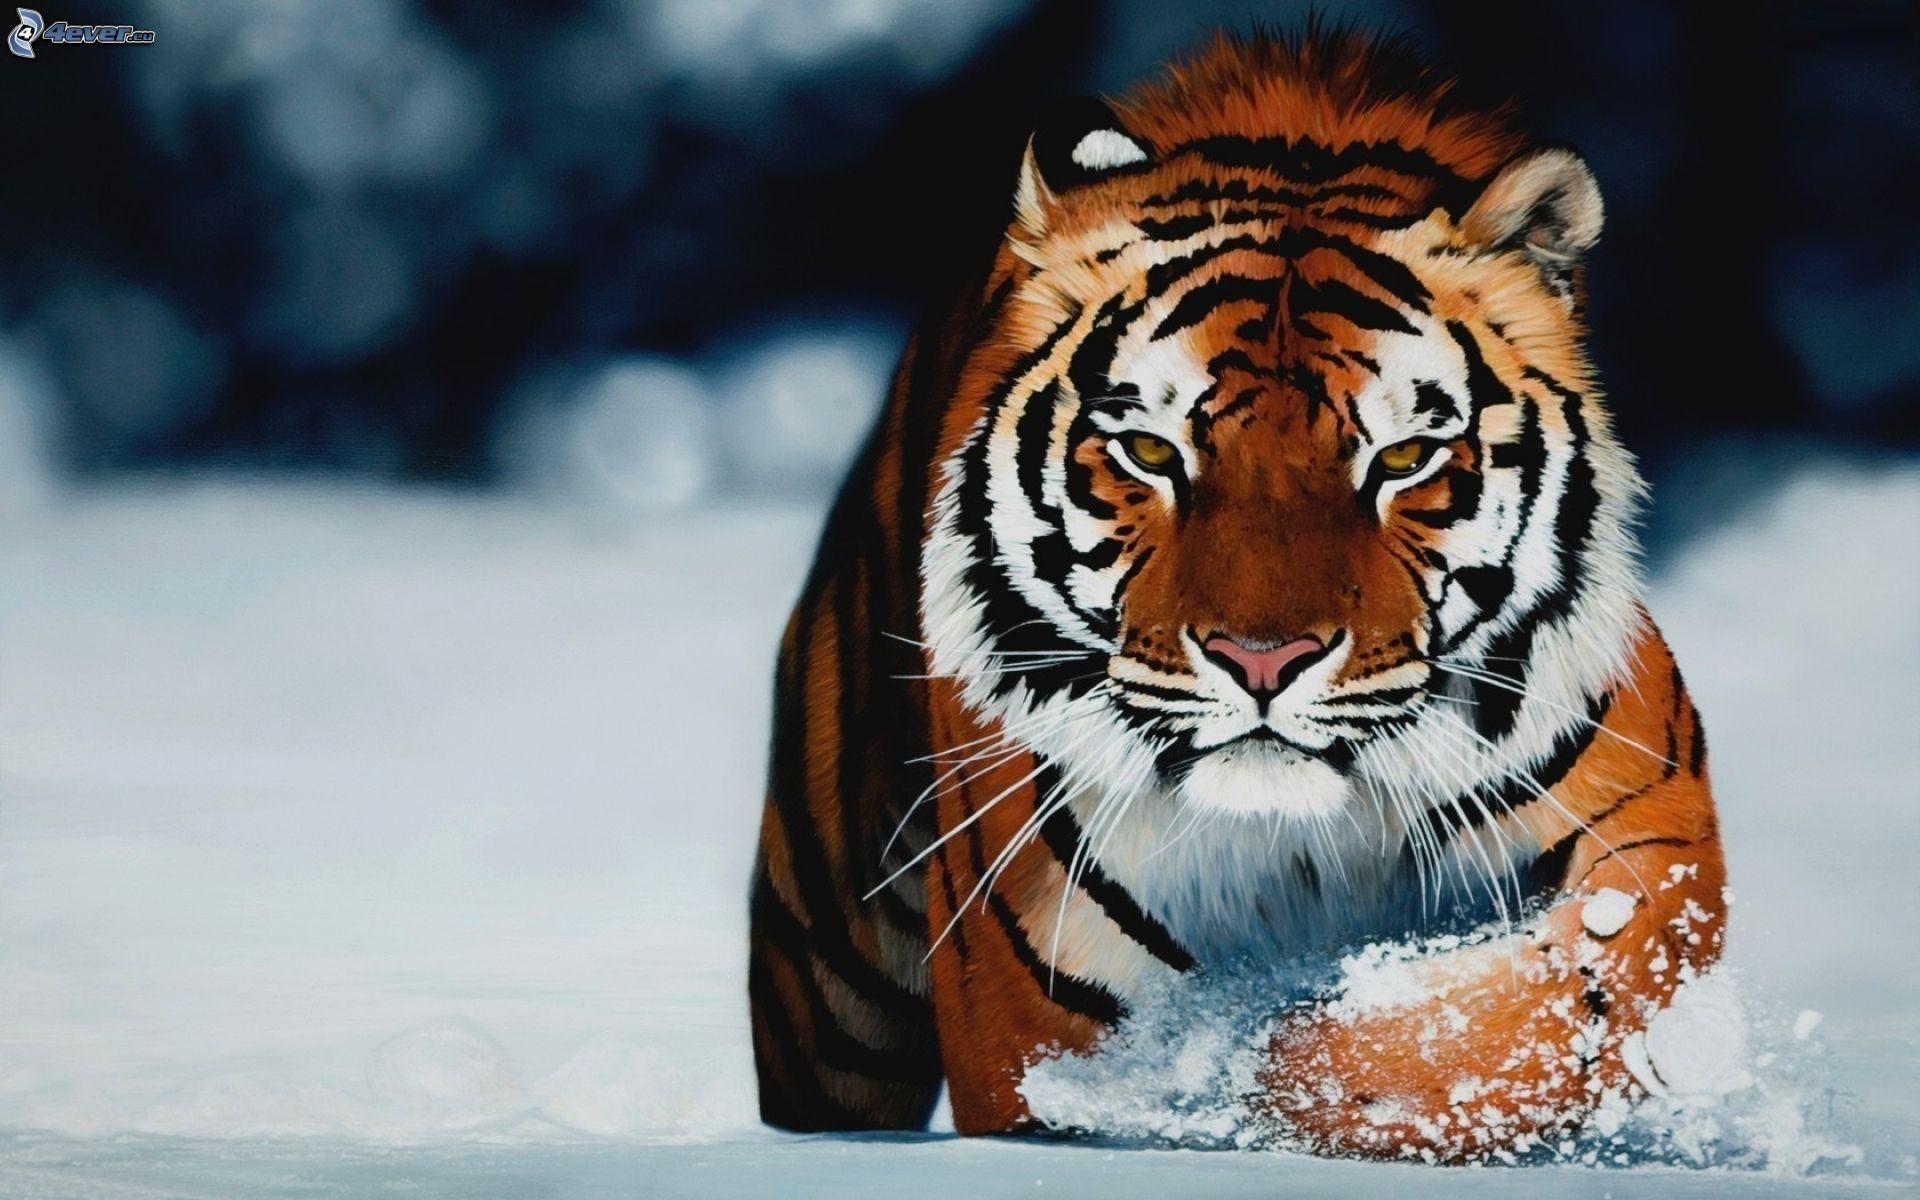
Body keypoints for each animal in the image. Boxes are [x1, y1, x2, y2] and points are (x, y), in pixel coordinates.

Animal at [747, 26, 1725, 1162]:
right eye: (1149, 451)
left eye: (1402, 458)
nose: (1264, 663)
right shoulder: (1029, 998)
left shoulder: (1654, 832)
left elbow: (1514, 1016)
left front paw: (1269, 1070)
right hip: (830, 975)